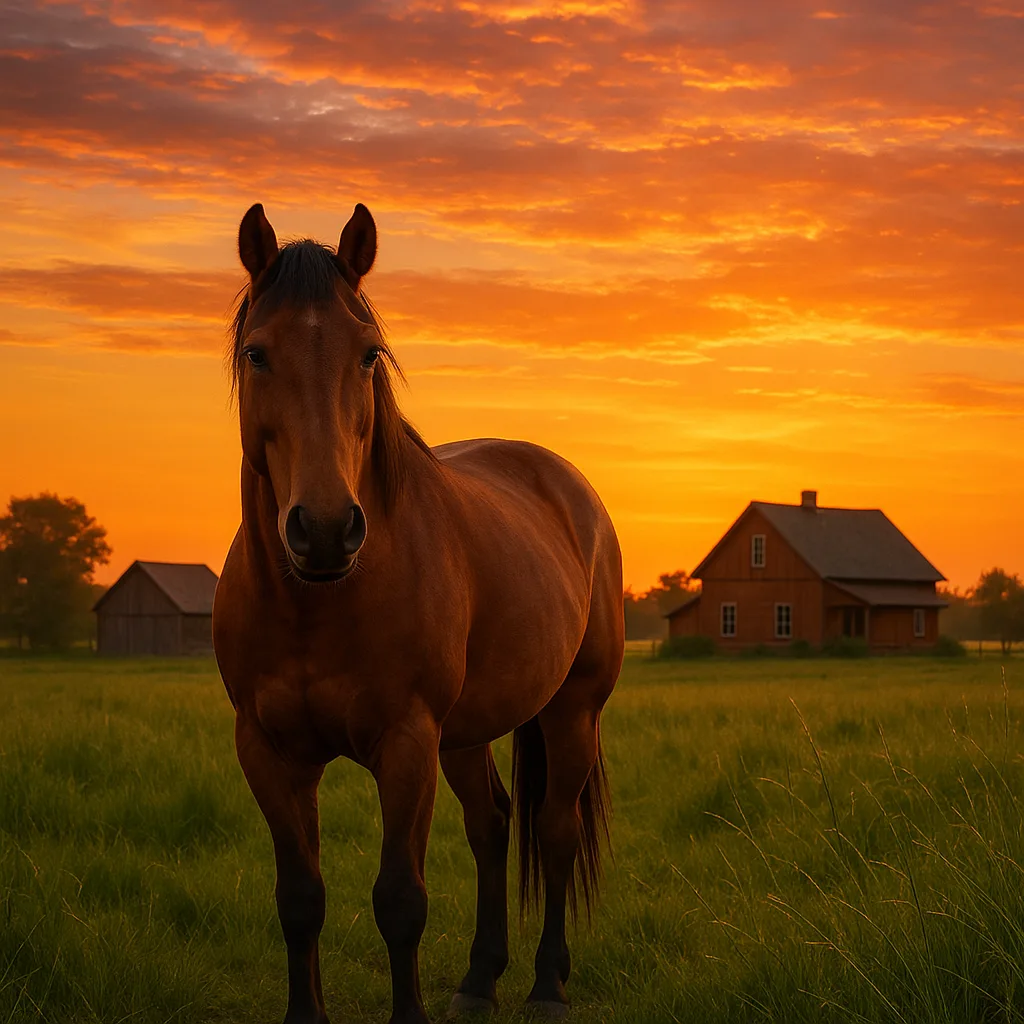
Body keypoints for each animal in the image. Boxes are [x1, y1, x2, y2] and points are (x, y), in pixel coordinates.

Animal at [212, 201, 624, 1024]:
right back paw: (478, 980)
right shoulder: (269, 751)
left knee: (555, 832)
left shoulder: (406, 743)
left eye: (368, 354)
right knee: (492, 825)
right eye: (257, 353)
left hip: (570, 711)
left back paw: (547, 985)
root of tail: (569, 487)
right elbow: (299, 899)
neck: (319, 601)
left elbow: (400, 901)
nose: (327, 529)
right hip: (465, 732)